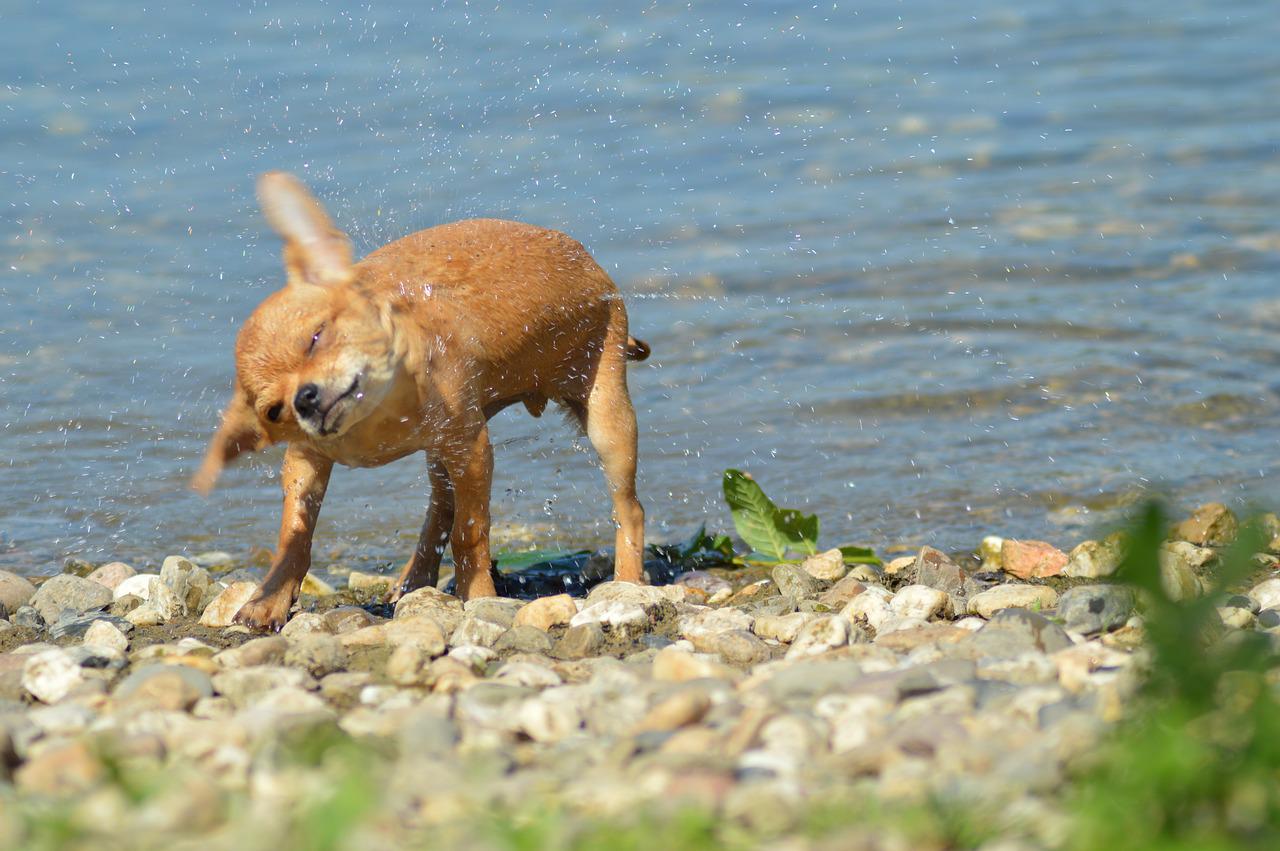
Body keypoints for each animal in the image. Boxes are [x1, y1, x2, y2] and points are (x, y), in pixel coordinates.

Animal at [192, 171, 650, 629]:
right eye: (274, 411)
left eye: (317, 337)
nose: (305, 398)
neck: (375, 420)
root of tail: (588, 261)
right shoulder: (305, 461)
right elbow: (294, 532)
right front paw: (269, 597)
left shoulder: (472, 450)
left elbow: (471, 532)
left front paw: (478, 596)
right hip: (443, 452)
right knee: (439, 511)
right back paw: (413, 580)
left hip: (606, 420)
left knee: (629, 510)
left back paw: (627, 583)